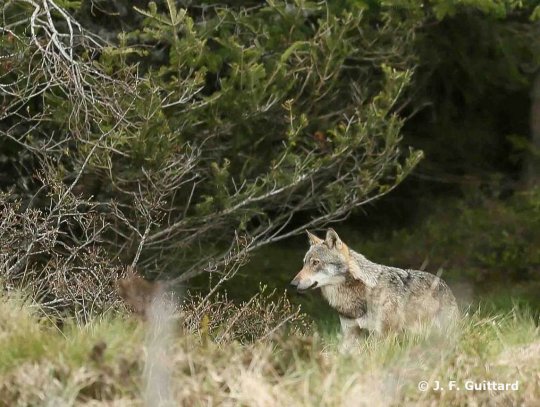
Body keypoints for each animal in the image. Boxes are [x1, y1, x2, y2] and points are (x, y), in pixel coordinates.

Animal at [288, 230, 458, 342]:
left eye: (316, 263)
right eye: (304, 263)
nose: (293, 284)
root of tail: (443, 283)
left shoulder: (384, 335)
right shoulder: (350, 334)